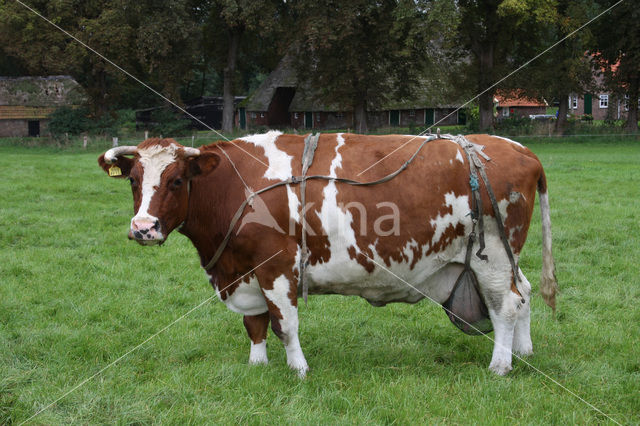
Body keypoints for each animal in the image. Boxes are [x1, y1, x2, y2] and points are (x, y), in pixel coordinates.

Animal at [97, 132, 556, 376]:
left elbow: (284, 323)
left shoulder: (276, 264)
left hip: (491, 254)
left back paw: (500, 365)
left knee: (506, 303)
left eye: (176, 180)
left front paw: (298, 369)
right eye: (134, 180)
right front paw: (257, 366)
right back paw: (524, 352)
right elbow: (254, 323)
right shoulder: (243, 270)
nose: (143, 228)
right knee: (525, 291)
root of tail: (523, 151)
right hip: (504, 257)